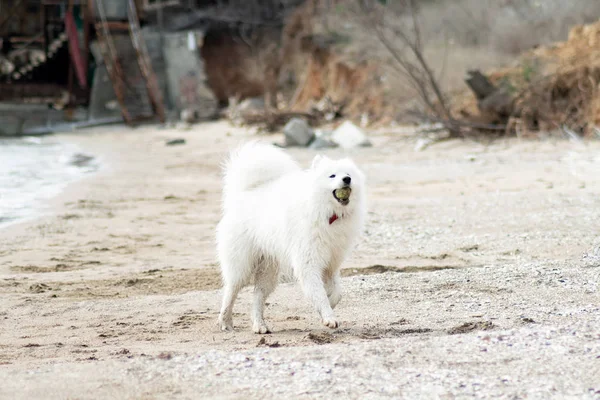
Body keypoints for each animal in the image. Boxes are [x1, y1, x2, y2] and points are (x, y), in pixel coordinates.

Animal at [216, 142, 366, 332]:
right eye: (332, 175)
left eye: (349, 174)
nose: (347, 179)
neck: (327, 214)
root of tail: (244, 194)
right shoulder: (308, 262)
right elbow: (319, 293)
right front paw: (328, 317)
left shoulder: (331, 263)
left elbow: (337, 292)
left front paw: (329, 305)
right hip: (242, 263)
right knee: (231, 290)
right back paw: (226, 320)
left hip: (268, 269)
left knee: (257, 296)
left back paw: (259, 325)